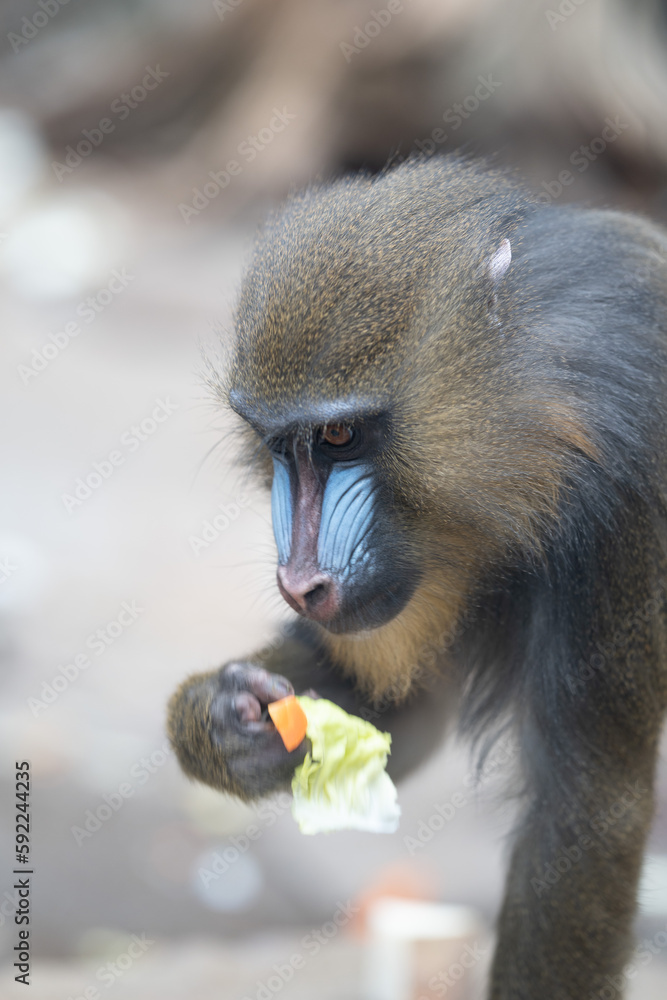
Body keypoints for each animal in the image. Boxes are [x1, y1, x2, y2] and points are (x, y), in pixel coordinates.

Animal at [167, 155, 667, 999]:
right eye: (278, 445)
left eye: (339, 435)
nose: (301, 582)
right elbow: (405, 708)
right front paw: (226, 721)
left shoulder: (627, 503)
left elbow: (584, 817)